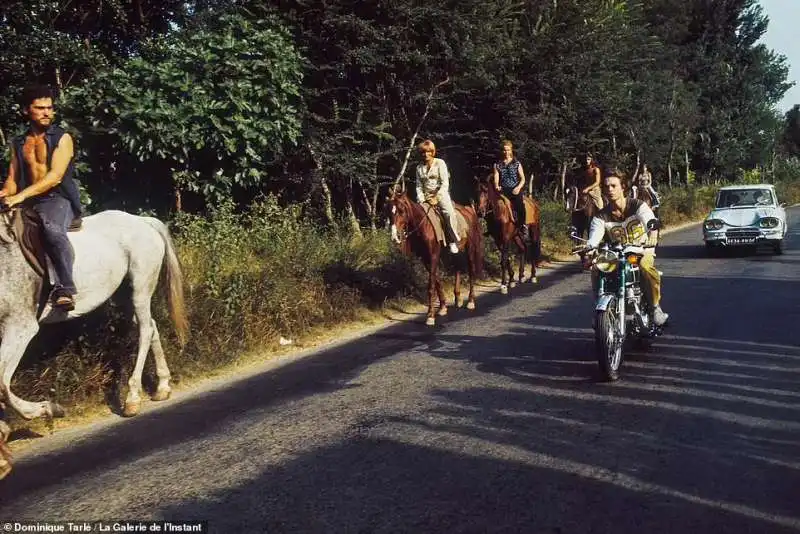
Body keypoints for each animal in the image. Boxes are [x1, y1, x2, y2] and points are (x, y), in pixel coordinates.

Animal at [0, 209, 188, 482]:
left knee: (144, 331)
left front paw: (49, 410)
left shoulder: (20, 327)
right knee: (151, 327)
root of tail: (142, 221)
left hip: (140, 287)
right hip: (125, 293)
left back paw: (132, 399)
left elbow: (2, 385)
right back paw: (162, 387)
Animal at [386, 191, 484, 328]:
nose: (395, 237)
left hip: (470, 248)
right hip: (452, 253)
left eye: (401, 210)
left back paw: (470, 301)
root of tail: (470, 210)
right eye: (389, 211)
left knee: (471, 270)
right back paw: (458, 298)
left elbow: (431, 286)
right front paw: (442, 307)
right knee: (457, 268)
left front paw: (430, 316)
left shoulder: (433, 256)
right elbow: (437, 281)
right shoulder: (426, 259)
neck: (423, 226)